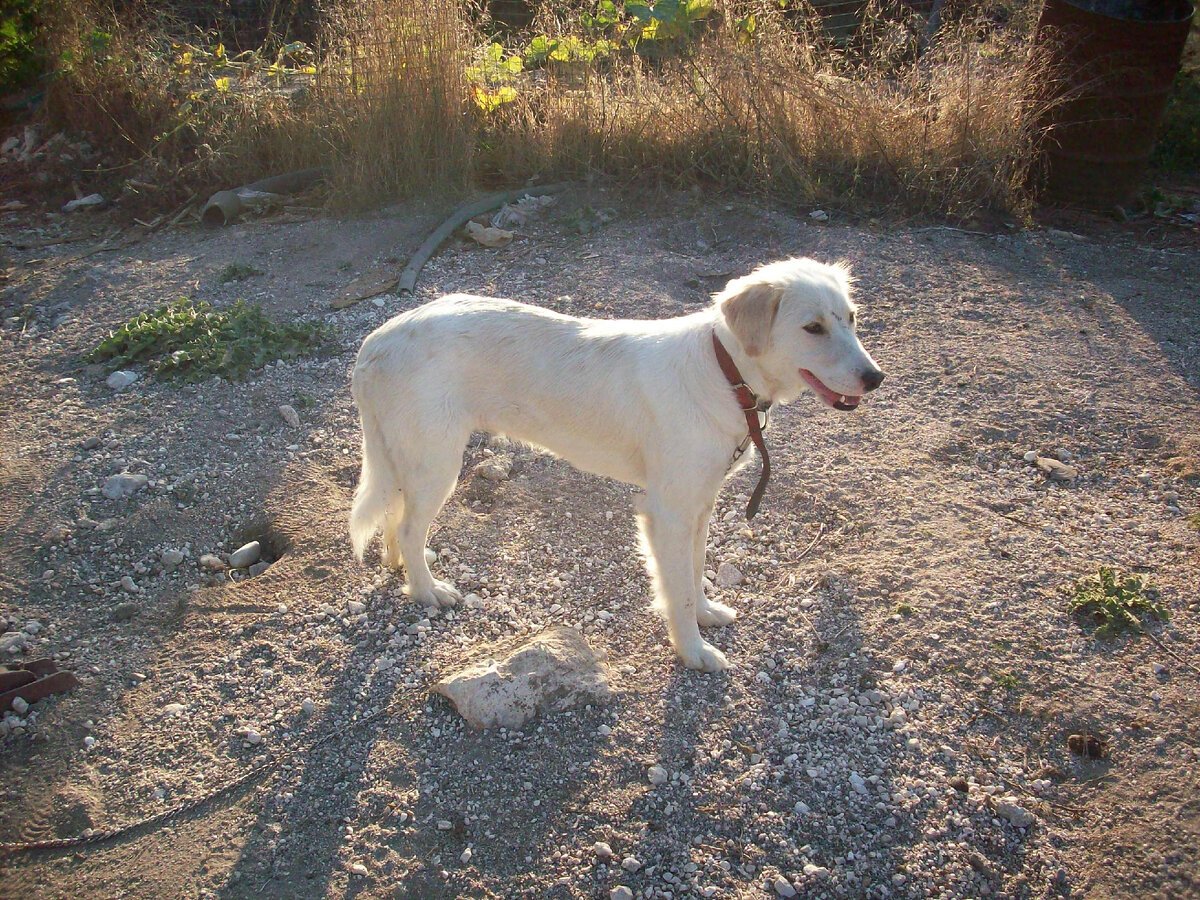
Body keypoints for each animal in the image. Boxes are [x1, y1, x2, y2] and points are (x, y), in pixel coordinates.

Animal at [348, 256, 883, 672]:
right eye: (813, 327)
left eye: (852, 318)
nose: (875, 378)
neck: (722, 372)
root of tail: (376, 340)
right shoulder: (667, 512)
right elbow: (677, 588)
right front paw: (693, 651)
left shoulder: (700, 505)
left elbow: (694, 570)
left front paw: (705, 615)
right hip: (437, 462)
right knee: (410, 526)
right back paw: (425, 591)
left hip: (411, 459)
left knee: (396, 520)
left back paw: (403, 568)